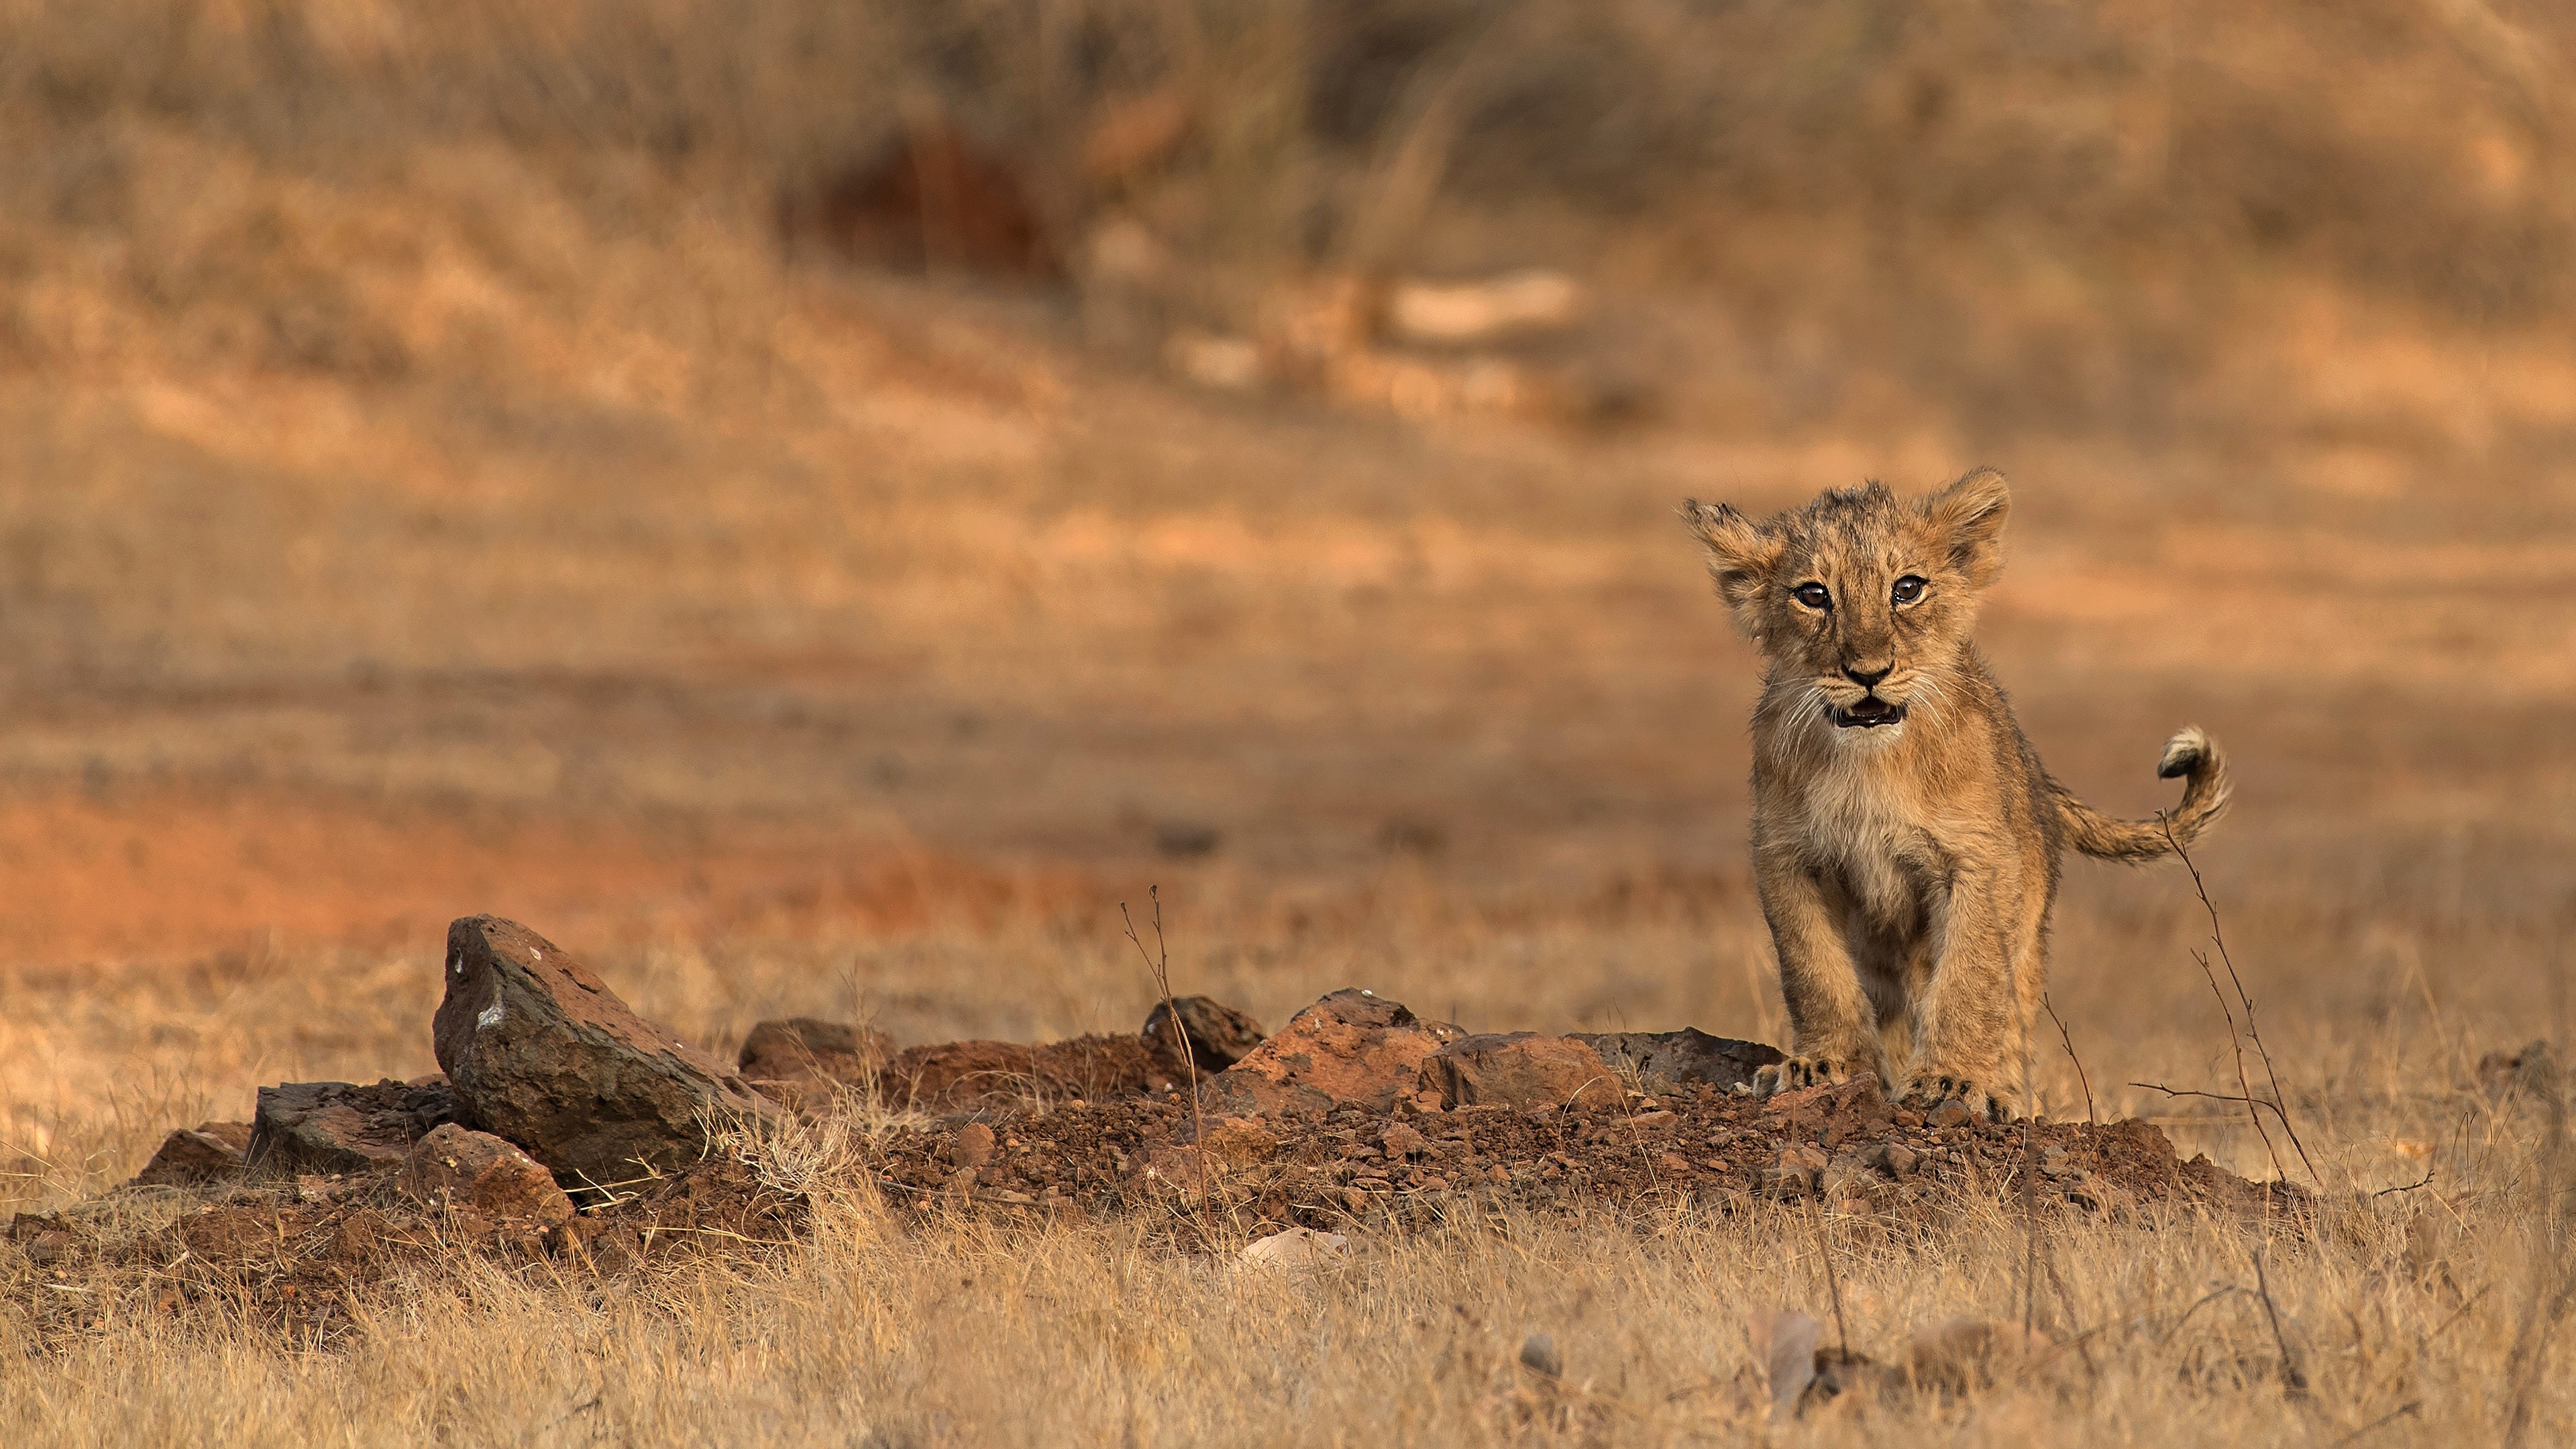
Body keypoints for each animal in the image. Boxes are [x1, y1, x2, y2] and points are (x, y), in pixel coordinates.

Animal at [1682, 469, 2229, 1120]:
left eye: (1907, 589)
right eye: (1813, 595)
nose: (1869, 672)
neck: (1871, 765)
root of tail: (2036, 768)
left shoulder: (1978, 860)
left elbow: (1970, 976)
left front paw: (1950, 1080)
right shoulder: (1788, 858)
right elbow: (1814, 968)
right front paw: (1825, 1064)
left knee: (2011, 1013)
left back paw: (2008, 1095)